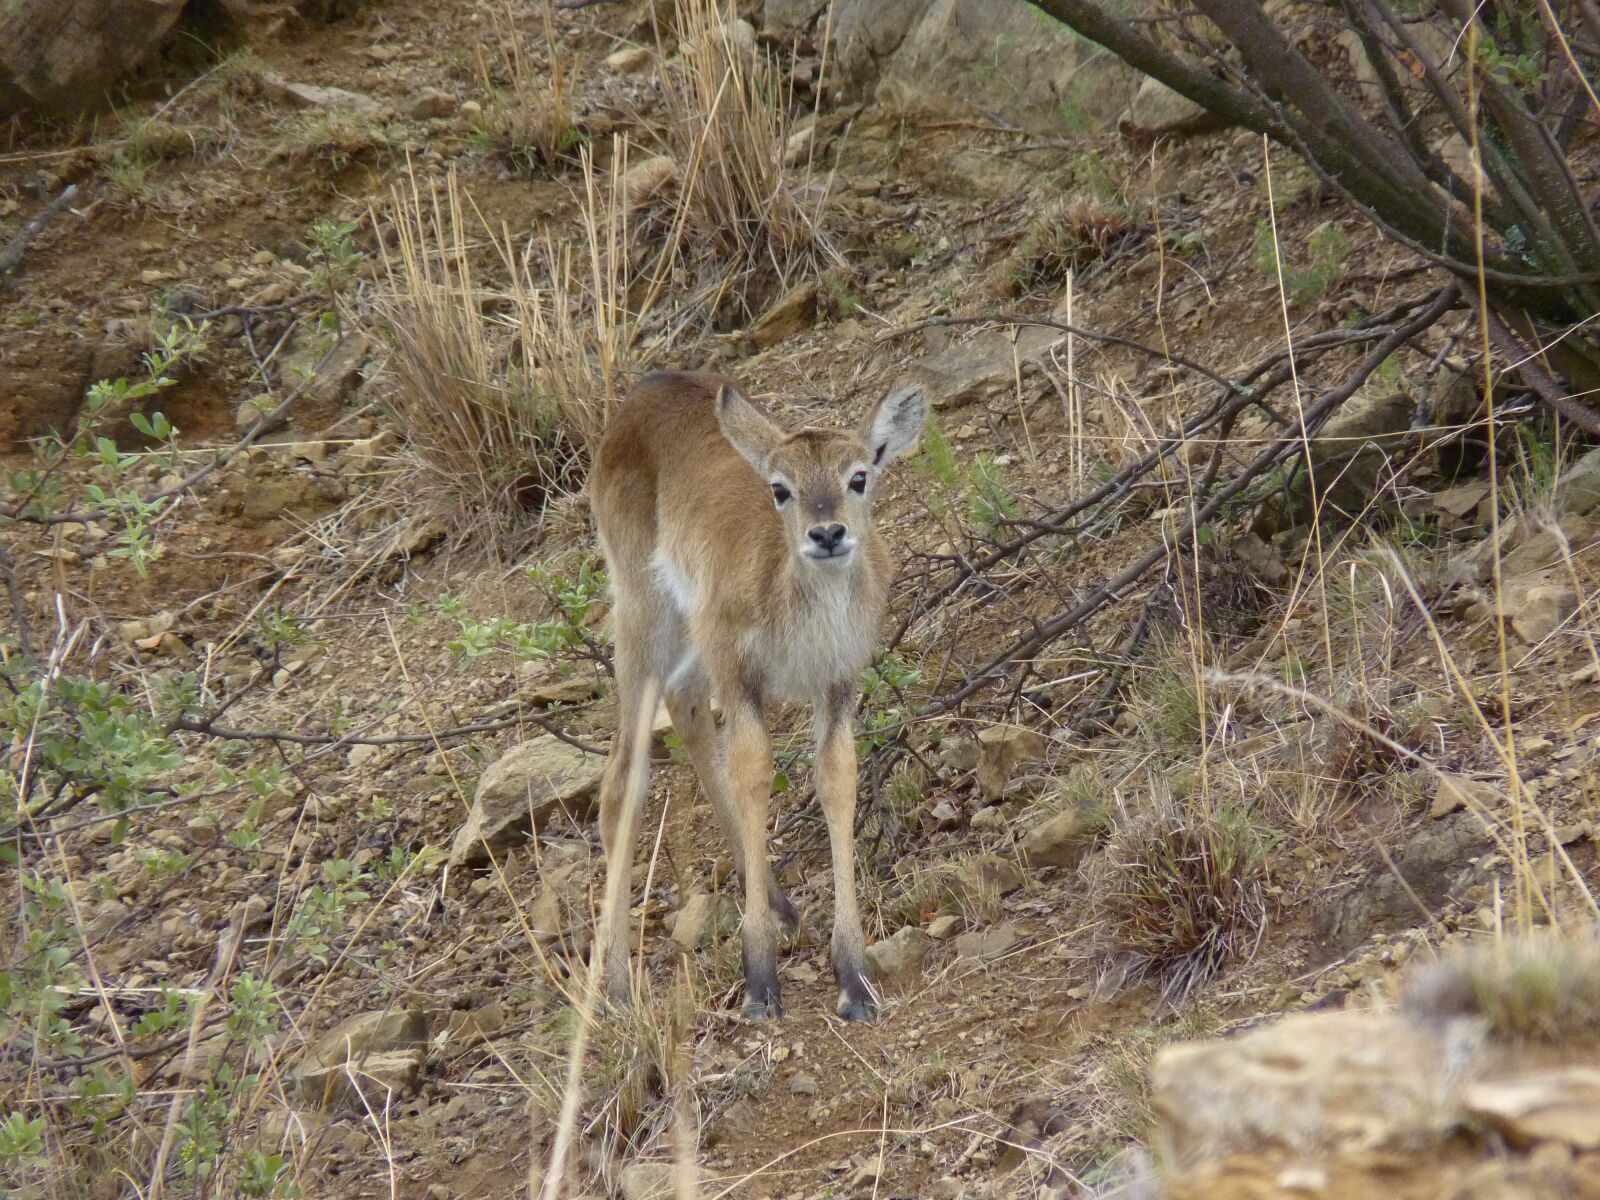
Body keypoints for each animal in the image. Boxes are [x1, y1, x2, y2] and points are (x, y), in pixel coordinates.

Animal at [592, 369, 934, 1024]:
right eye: (780, 488)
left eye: (858, 476)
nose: (827, 533)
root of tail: (643, 393)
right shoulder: (739, 675)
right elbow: (753, 772)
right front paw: (760, 980)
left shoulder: (837, 682)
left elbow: (837, 778)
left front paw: (853, 978)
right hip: (645, 616)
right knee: (623, 776)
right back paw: (617, 988)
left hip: (688, 643)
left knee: (685, 709)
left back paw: (781, 903)